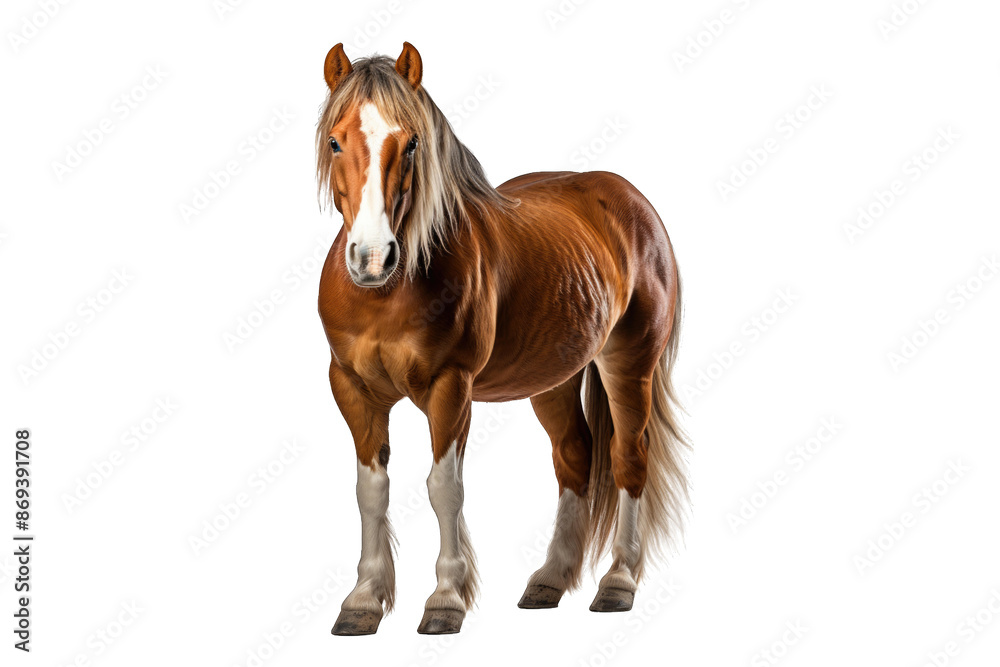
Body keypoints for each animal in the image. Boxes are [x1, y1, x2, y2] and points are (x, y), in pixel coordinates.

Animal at [316, 42, 689, 635]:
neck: (386, 296)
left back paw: (618, 583)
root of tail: (632, 202)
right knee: (574, 455)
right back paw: (549, 580)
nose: (372, 258)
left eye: (412, 142)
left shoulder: (451, 388)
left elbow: (443, 488)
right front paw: (363, 600)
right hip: (555, 377)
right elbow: (370, 491)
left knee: (629, 456)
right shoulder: (352, 388)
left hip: (629, 362)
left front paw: (445, 599)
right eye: (335, 140)